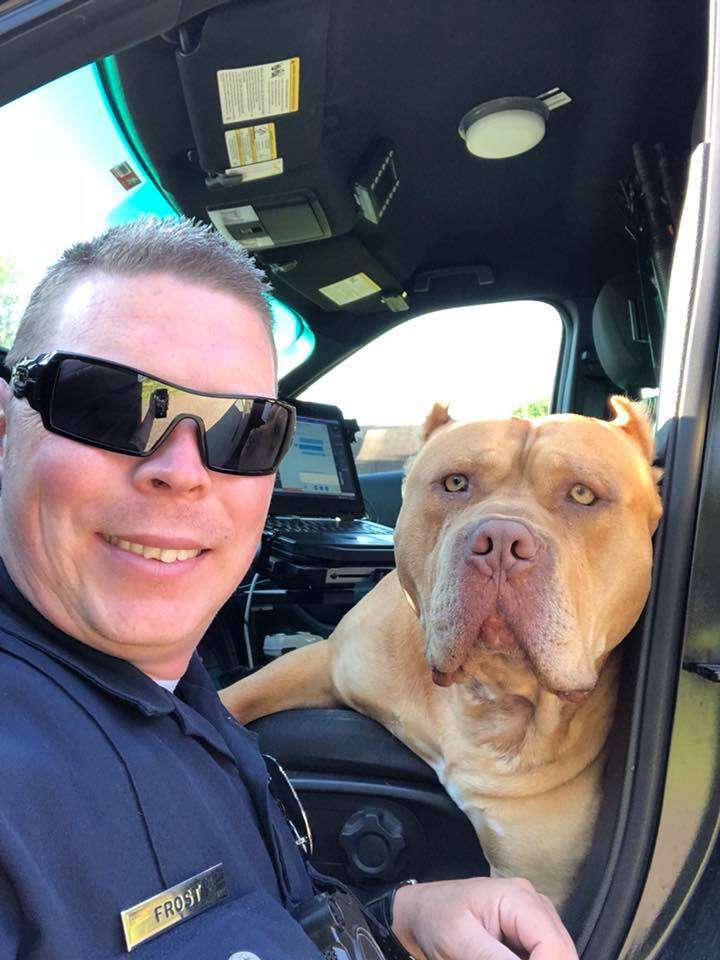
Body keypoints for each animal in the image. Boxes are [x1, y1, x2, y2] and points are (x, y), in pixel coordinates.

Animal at [222, 398, 660, 908]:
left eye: (583, 494)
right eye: (454, 483)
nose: (502, 542)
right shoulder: (326, 662)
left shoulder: (536, 885)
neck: (485, 692)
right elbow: (232, 701)